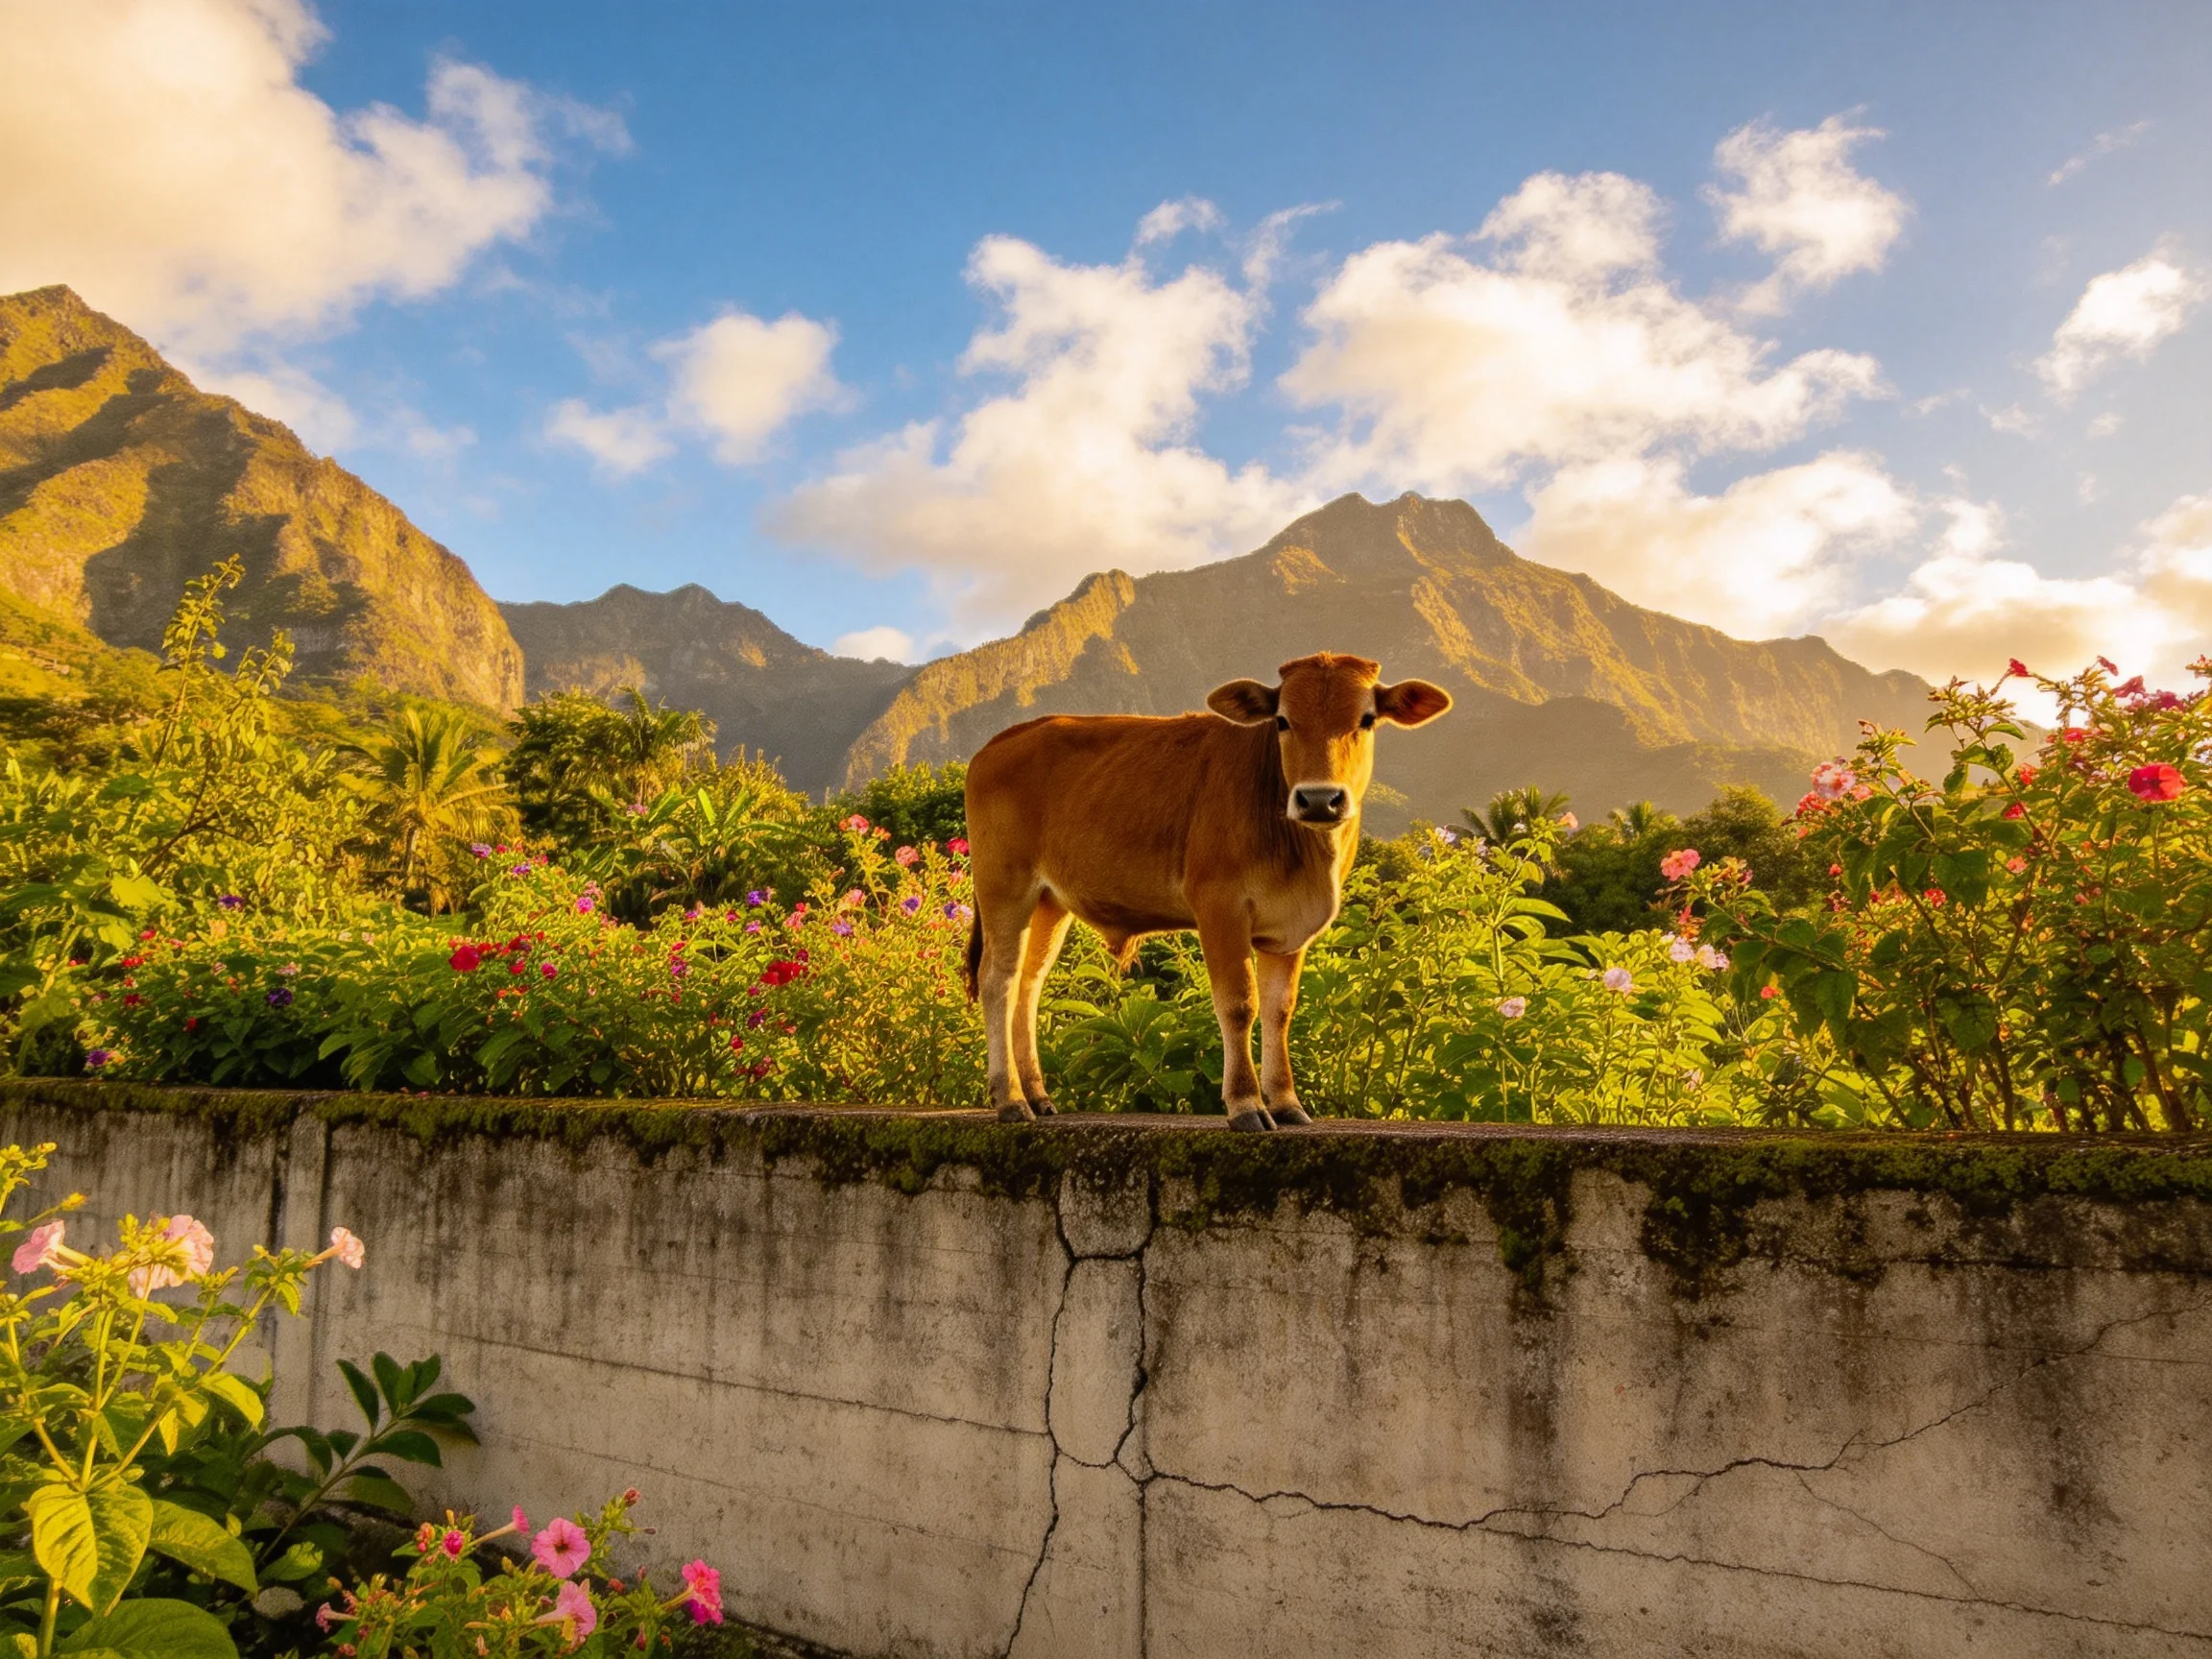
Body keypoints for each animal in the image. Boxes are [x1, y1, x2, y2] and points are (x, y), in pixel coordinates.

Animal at [961, 652, 1452, 1131]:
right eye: (1283, 720)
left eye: (1366, 719)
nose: (1318, 799)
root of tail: (1000, 742)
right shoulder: (1220, 906)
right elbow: (1238, 1004)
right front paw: (1246, 1104)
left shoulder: (1290, 929)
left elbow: (1280, 1010)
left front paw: (1287, 1103)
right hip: (1005, 886)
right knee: (998, 981)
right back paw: (1010, 1098)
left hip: (1049, 903)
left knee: (1029, 984)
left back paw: (1037, 1095)